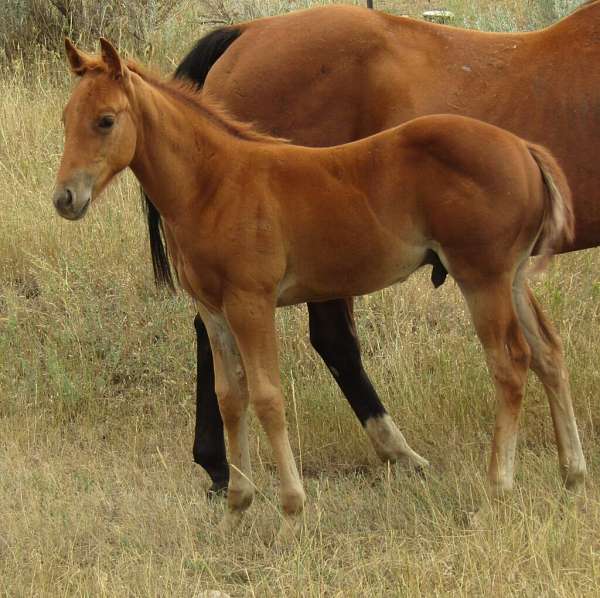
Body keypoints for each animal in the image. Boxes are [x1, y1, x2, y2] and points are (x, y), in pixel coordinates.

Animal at [52, 39, 584, 532]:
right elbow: (230, 397)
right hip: (512, 278)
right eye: (65, 118)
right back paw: (572, 474)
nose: (65, 198)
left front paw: (291, 509)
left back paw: (498, 488)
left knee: (510, 365)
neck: (213, 183)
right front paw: (237, 508)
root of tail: (524, 149)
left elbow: (267, 396)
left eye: (105, 120)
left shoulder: (251, 302)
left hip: (482, 278)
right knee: (548, 352)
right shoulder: (213, 309)